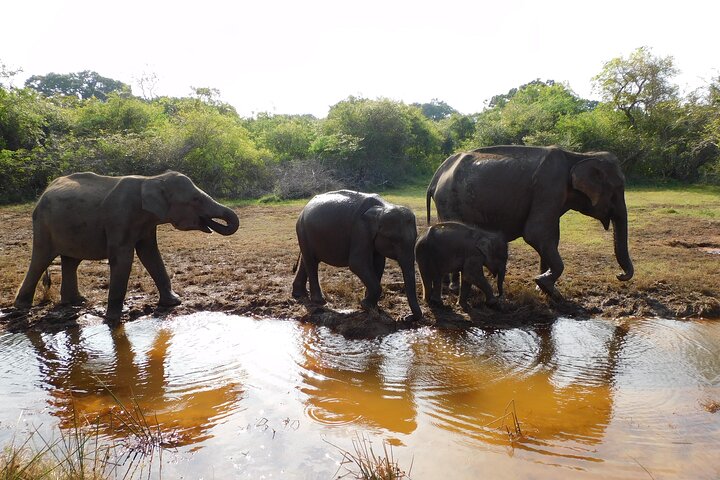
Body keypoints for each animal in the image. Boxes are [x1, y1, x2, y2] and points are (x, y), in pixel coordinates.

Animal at [14, 171, 239, 321]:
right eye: (195, 199)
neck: (152, 179)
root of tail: (45, 192)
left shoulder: (146, 223)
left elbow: (150, 253)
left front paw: (174, 302)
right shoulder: (119, 217)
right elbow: (123, 258)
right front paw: (114, 318)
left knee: (71, 261)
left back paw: (76, 301)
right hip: (43, 225)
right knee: (41, 259)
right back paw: (22, 306)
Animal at [291, 190, 423, 321]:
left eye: (415, 238)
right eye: (393, 239)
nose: (405, 317)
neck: (382, 207)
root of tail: (305, 208)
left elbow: (379, 263)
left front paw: (373, 307)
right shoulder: (360, 230)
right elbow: (357, 263)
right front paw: (366, 305)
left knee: (307, 260)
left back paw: (299, 294)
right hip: (302, 230)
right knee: (311, 261)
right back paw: (320, 301)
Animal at [426, 146, 633, 299]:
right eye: (617, 190)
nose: (619, 275)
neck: (579, 156)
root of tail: (437, 174)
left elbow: (550, 237)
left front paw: (543, 289)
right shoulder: (549, 187)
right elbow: (536, 233)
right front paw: (548, 287)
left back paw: (449, 285)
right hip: (449, 201)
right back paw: (454, 287)